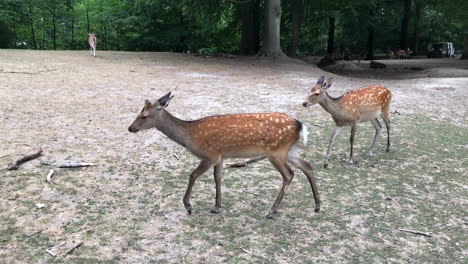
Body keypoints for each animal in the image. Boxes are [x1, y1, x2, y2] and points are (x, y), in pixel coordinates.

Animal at [129, 93, 322, 219]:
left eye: (144, 115)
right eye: (139, 113)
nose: (130, 128)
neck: (189, 137)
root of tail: (300, 125)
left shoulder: (209, 155)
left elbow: (193, 175)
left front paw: (188, 206)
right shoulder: (220, 157)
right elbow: (218, 178)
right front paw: (216, 206)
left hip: (276, 151)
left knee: (289, 174)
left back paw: (271, 211)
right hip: (289, 150)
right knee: (307, 166)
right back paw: (317, 205)